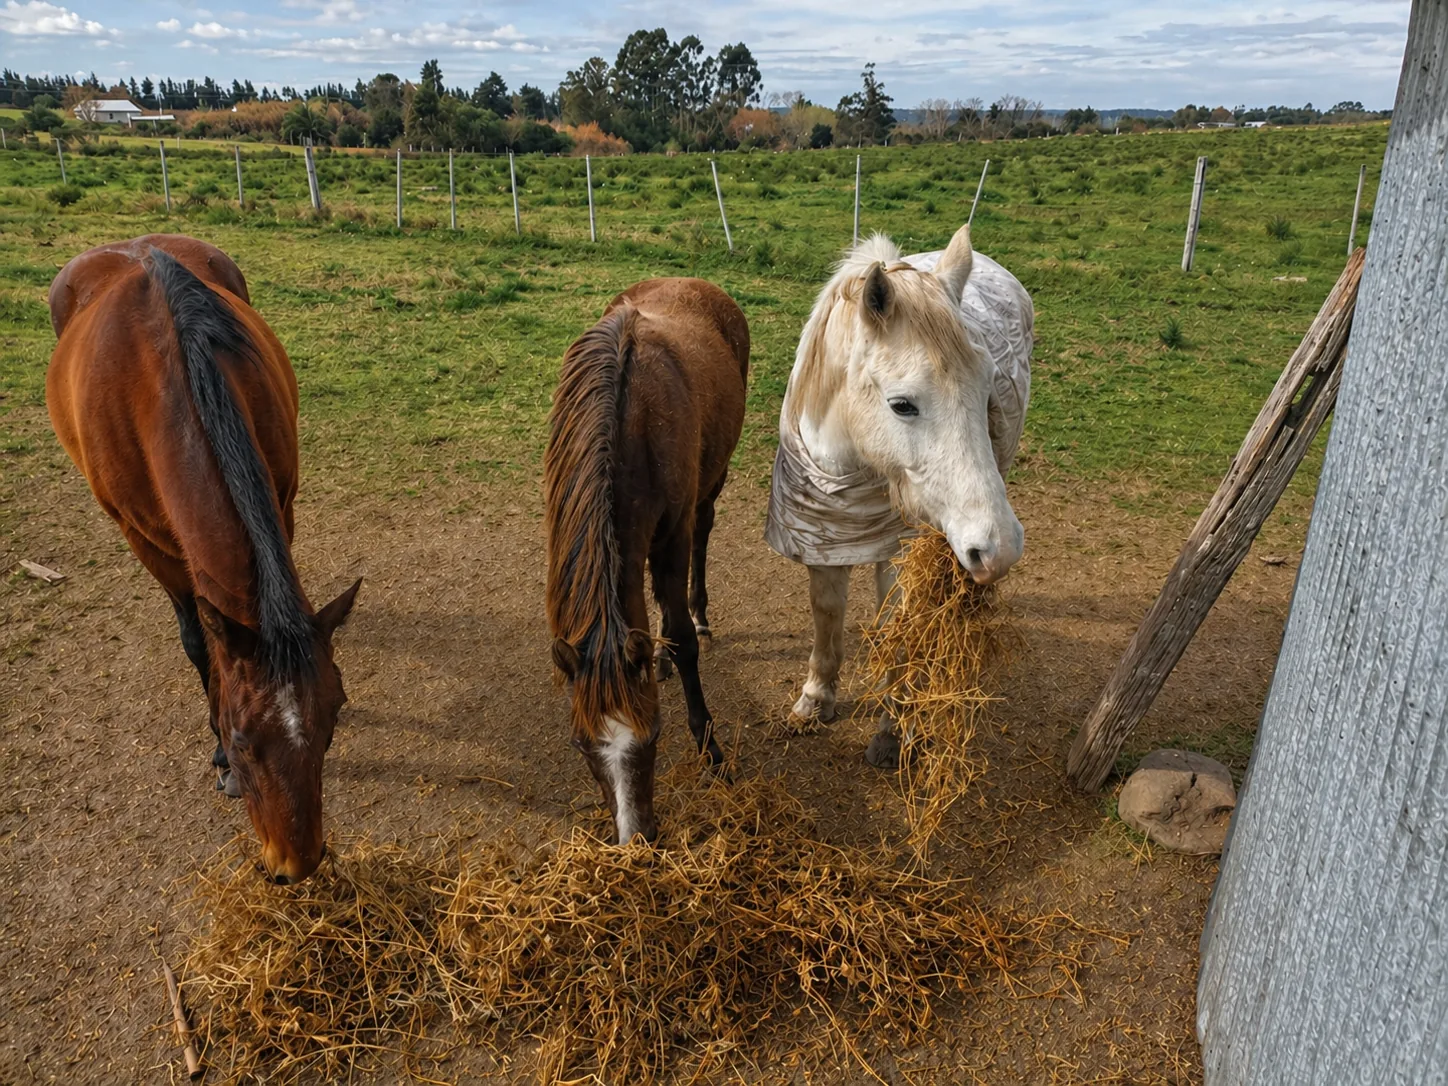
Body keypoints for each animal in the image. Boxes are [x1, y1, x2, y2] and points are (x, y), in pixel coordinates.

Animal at [46, 234, 361, 883]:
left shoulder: (281, 503)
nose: (295, 865)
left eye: (333, 720)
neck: (166, 382)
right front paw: (214, 749)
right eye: (241, 741)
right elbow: (200, 642)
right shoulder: (147, 542)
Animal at [545, 278, 749, 844]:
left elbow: (680, 634)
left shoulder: (673, 536)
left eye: (654, 735)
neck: (627, 422)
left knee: (704, 537)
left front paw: (709, 747)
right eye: (581, 744)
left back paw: (699, 618)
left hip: (710, 487)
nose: (635, 838)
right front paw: (658, 657)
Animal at [764, 223, 1033, 767]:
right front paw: (816, 699)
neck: (848, 468)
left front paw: (893, 727)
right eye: (902, 404)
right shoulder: (822, 542)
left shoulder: (897, 554)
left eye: (987, 393)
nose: (1000, 548)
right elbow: (827, 613)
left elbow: (895, 631)